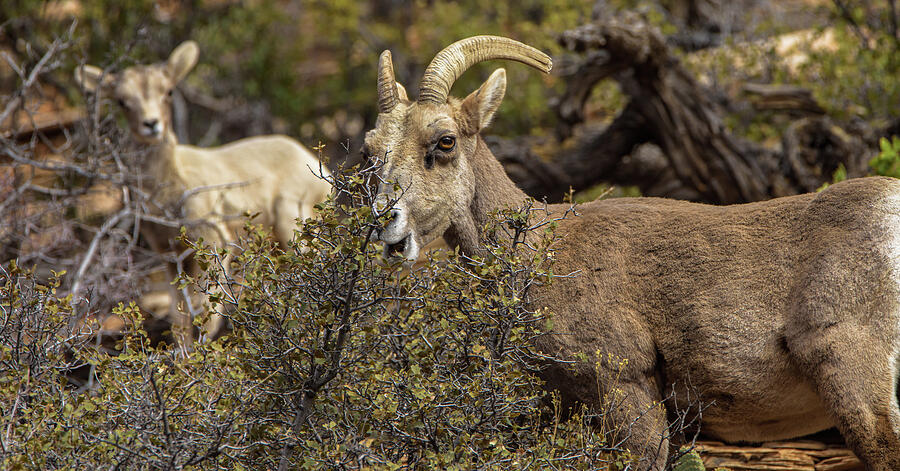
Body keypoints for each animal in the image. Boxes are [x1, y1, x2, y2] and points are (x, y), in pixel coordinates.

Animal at [75, 41, 332, 344]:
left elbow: (206, 314)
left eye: (168, 91)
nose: (151, 124)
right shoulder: (170, 255)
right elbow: (180, 315)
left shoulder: (214, 245)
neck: (171, 190)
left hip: (292, 227)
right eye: (122, 101)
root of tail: (321, 171)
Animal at [365, 35, 900, 470]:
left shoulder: (627, 392)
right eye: (373, 148)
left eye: (445, 141)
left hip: (859, 388)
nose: (384, 222)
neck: (542, 255)